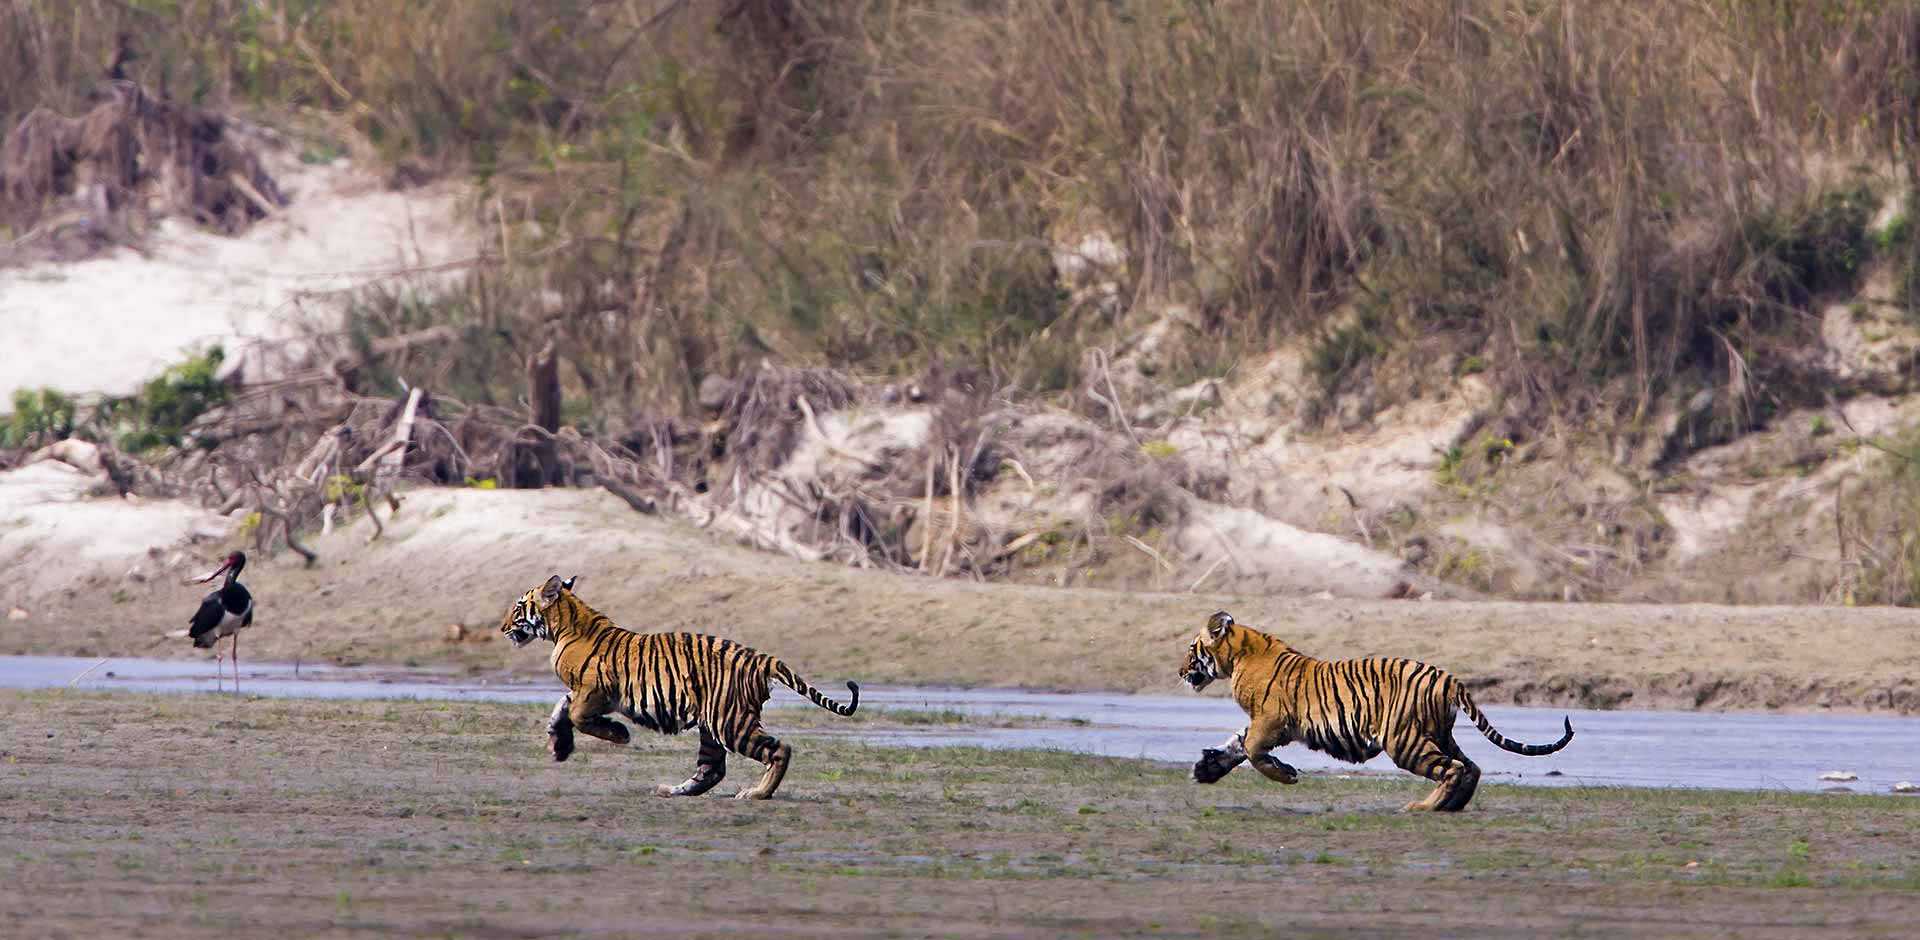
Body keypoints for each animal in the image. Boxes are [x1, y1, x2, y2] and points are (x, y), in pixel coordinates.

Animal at [499, 571, 860, 801]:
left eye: (518, 607)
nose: (502, 628)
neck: (565, 627)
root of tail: (761, 657)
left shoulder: (594, 690)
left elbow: (576, 714)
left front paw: (618, 734)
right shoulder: (584, 692)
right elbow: (561, 708)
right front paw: (559, 745)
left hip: (729, 722)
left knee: (779, 749)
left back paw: (757, 794)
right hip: (712, 725)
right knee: (711, 770)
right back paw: (672, 791)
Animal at [1167, 610, 1574, 809]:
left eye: (1191, 649)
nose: (1180, 671)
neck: (1240, 655)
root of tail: (1448, 677)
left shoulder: (1271, 720)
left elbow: (1251, 750)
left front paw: (1285, 775)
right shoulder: (1263, 723)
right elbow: (1237, 744)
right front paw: (1206, 769)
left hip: (1403, 740)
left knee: (1454, 769)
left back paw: (1423, 808)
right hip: (1436, 734)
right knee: (1471, 767)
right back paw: (1450, 807)